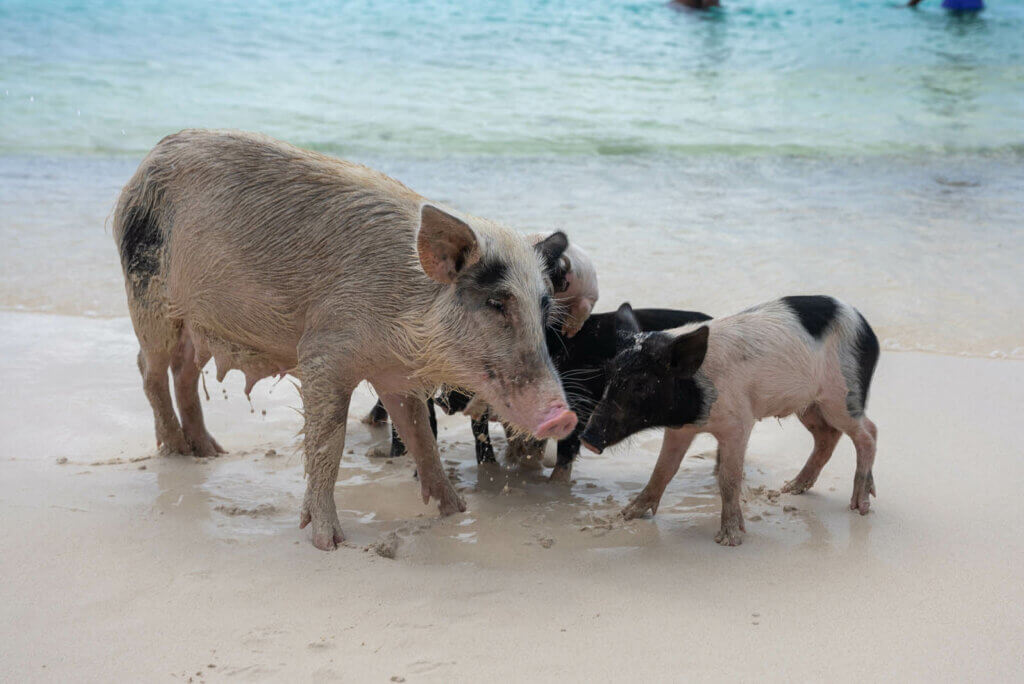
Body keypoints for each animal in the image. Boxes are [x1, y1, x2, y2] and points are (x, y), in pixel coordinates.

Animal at [114, 131, 577, 552]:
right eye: (496, 302)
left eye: (544, 305)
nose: (565, 416)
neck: (406, 317)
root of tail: (148, 159)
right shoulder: (324, 352)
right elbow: (328, 441)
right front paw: (329, 542)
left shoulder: (394, 374)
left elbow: (421, 438)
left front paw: (457, 511)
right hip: (147, 296)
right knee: (147, 368)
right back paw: (176, 450)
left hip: (195, 324)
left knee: (184, 371)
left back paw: (210, 452)